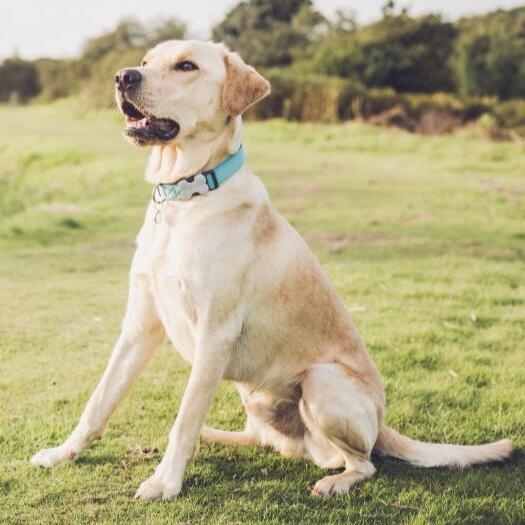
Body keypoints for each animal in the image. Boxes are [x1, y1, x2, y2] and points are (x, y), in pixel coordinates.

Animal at [29, 41, 512, 500]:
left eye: (186, 66)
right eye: (146, 61)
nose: (123, 76)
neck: (185, 198)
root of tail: (382, 423)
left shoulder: (214, 334)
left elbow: (184, 417)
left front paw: (165, 482)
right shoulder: (139, 326)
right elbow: (100, 400)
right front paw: (63, 453)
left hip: (321, 381)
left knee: (362, 462)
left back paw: (336, 480)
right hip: (256, 395)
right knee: (263, 439)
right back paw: (213, 436)